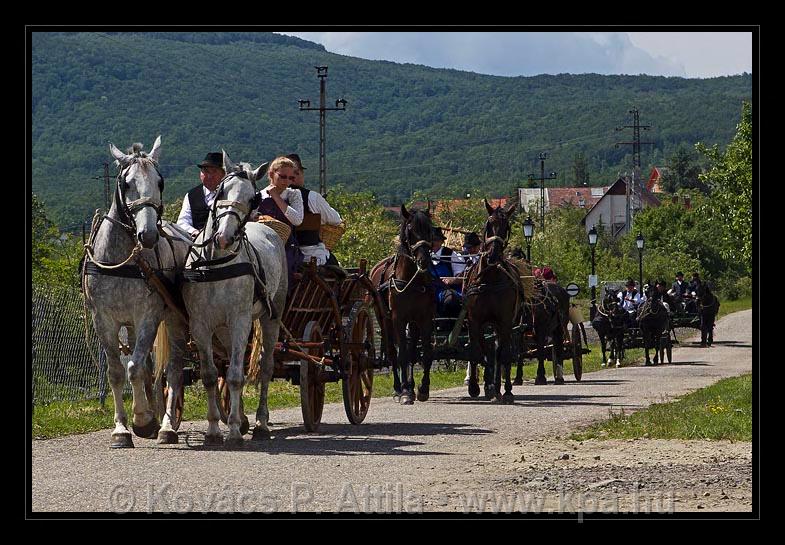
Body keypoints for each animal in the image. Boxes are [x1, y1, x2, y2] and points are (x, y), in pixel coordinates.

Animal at [82, 138, 189, 448]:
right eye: (127, 183)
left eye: (160, 182)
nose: (149, 235)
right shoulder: (104, 320)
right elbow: (117, 372)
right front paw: (121, 430)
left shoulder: (148, 317)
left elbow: (134, 368)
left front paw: (142, 420)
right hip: (129, 325)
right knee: (151, 369)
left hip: (174, 320)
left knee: (173, 371)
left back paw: (166, 427)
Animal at [179, 150, 286, 446]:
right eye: (221, 191)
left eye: (252, 198)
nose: (224, 238)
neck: (216, 264)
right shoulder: (200, 325)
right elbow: (210, 375)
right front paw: (215, 430)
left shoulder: (240, 321)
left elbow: (237, 376)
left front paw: (236, 432)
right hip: (224, 331)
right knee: (228, 363)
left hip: (271, 317)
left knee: (264, 368)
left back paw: (260, 423)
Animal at [368, 204, 434, 404]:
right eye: (411, 230)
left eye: (429, 229)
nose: (424, 261)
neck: (412, 280)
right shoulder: (398, 319)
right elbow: (402, 355)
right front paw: (405, 392)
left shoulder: (424, 319)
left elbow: (424, 353)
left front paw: (422, 388)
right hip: (385, 320)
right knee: (392, 352)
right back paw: (399, 388)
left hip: (412, 323)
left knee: (411, 351)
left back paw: (410, 386)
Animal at [462, 198, 516, 402]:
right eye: (488, 225)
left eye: (506, 227)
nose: (493, 255)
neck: (491, 277)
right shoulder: (474, 321)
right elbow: (477, 352)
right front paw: (475, 387)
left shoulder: (505, 321)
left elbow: (503, 355)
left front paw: (504, 390)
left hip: (499, 325)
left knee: (499, 351)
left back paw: (498, 388)